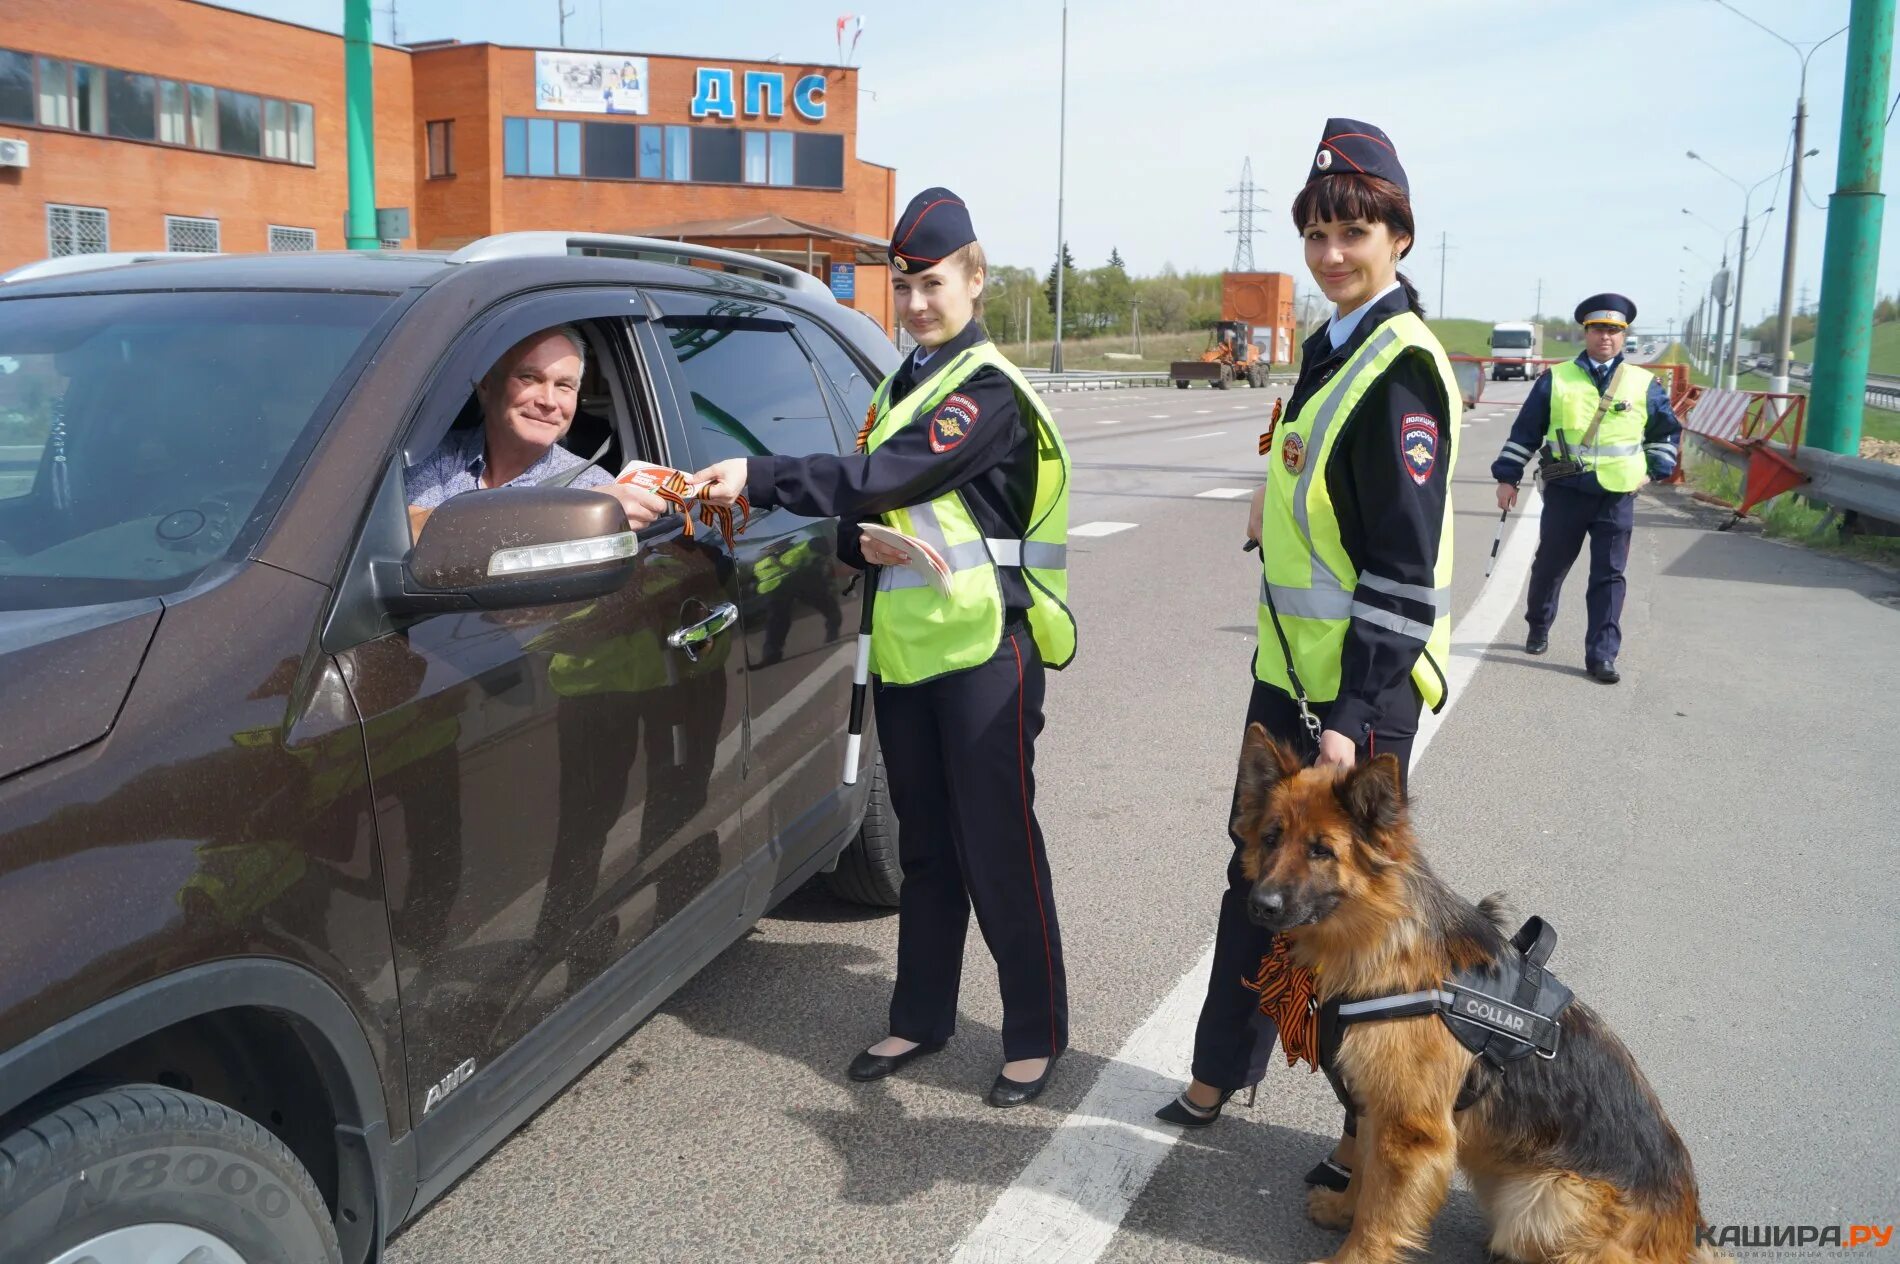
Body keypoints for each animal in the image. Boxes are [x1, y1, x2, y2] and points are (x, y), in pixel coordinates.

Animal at [1231, 726, 1725, 1262]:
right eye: (1272, 838)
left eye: (1321, 850)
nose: (1260, 905)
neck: (1383, 938)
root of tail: (1688, 1236)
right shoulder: (1375, 1106)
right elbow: (1362, 1174)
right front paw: (1342, 1209)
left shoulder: (1408, 1129)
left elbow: (1379, 1212)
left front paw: (1353, 1256)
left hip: (1545, 1198)